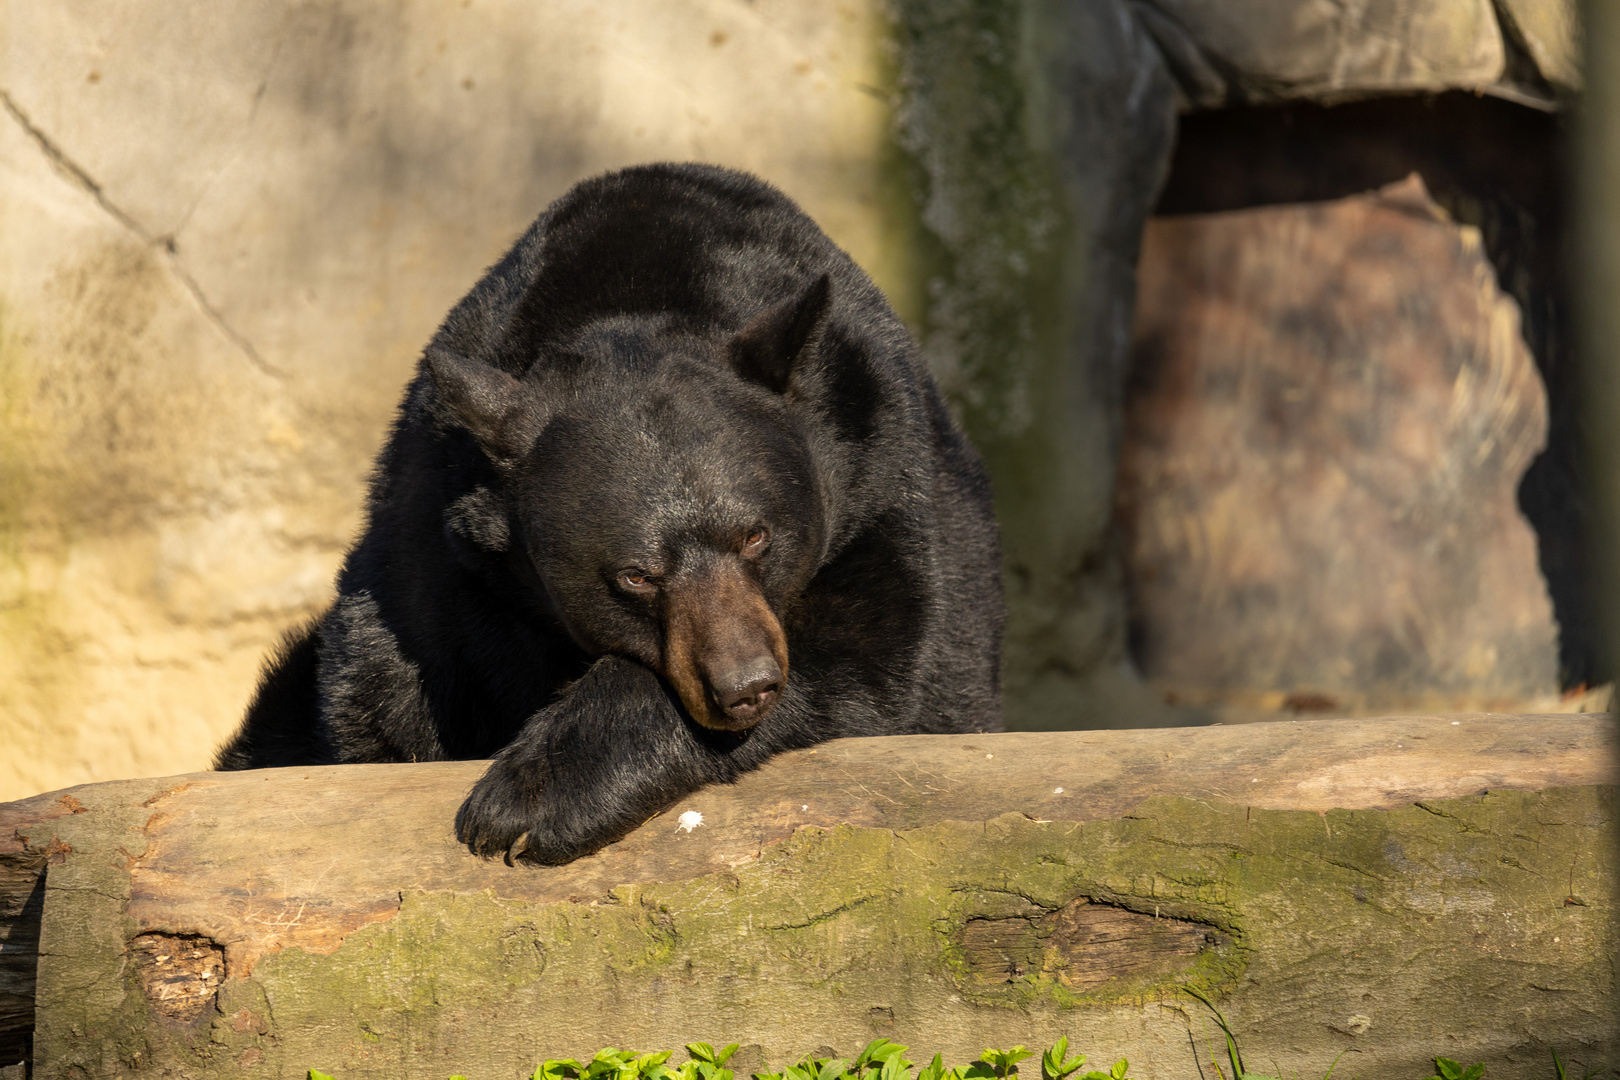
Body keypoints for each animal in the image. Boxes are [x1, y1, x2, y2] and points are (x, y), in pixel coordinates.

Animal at [215, 165, 997, 867]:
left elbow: (871, 638)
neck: (636, 296)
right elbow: (383, 688)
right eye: (636, 576)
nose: (744, 686)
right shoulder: (433, 535)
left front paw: (535, 795)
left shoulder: (876, 466)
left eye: (757, 537)